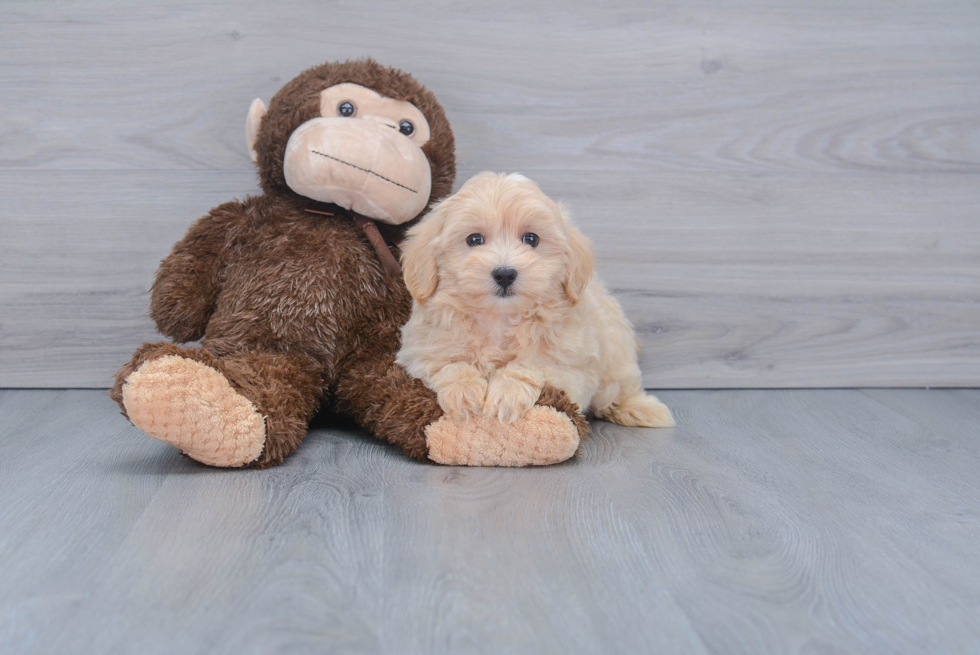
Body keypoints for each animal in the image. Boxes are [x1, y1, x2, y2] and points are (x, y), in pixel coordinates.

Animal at [392, 174, 672, 430]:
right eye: (474, 239)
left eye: (531, 239)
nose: (505, 273)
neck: (499, 317)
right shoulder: (420, 353)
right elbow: (450, 365)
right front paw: (464, 394)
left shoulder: (572, 370)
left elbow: (530, 365)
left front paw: (507, 394)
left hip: (616, 355)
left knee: (620, 388)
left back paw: (641, 409)